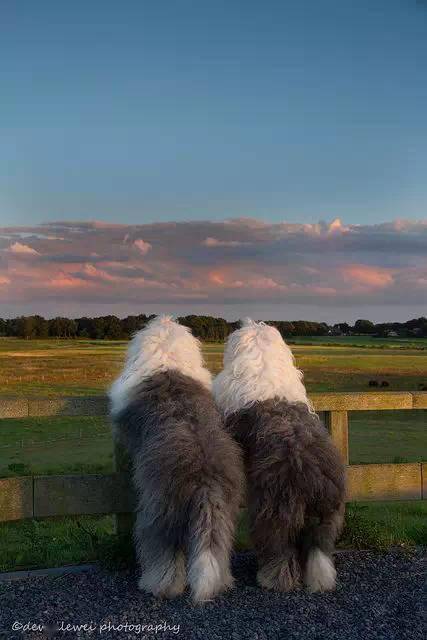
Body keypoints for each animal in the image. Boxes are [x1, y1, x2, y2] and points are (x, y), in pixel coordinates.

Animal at [109, 318, 244, 604]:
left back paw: (159, 585)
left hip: (161, 511)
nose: (165, 318)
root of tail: (204, 479)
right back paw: (221, 581)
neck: (167, 362)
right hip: (224, 511)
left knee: (164, 552)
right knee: (218, 546)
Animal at [212, 320, 346, 596]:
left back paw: (272, 579)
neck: (263, 360)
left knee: (278, 546)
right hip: (325, 515)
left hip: (274, 509)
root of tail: (313, 477)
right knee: (318, 548)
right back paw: (320, 579)